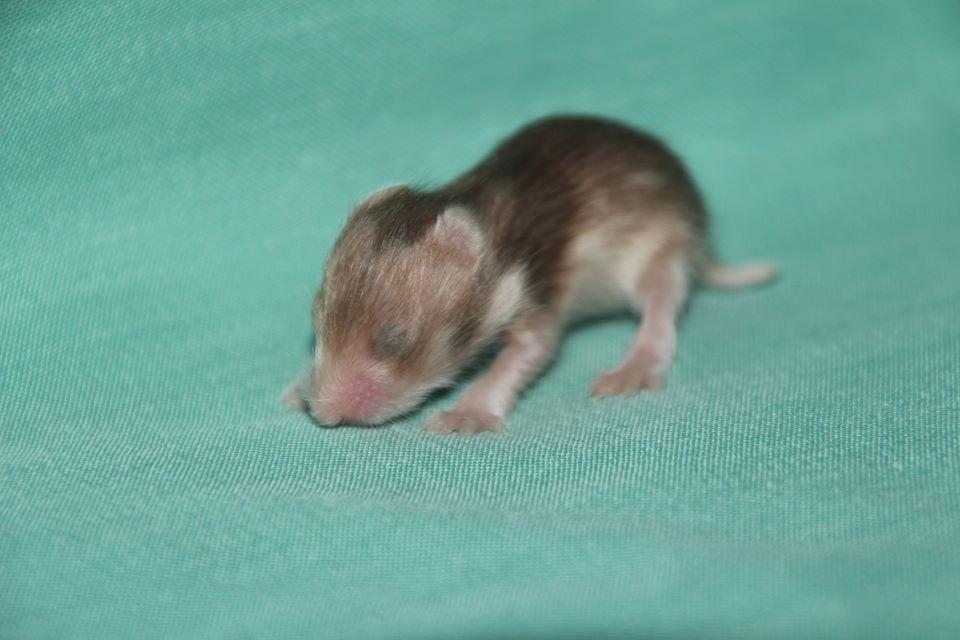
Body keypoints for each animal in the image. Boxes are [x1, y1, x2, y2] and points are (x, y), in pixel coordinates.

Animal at [284, 115, 776, 435]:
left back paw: (634, 365)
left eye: (394, 340)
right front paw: (296, 388)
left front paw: (469, 412)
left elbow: (531, 351)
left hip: (661, 246)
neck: (481, 211)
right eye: (317, 330)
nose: (324, 413)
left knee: (661, 301)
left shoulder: (533, 291)